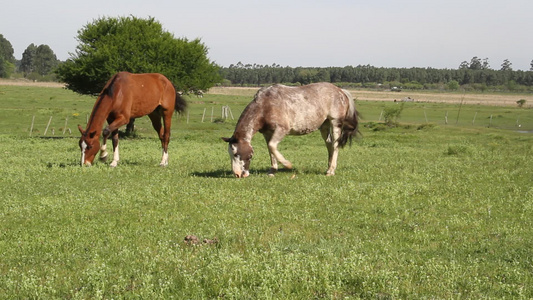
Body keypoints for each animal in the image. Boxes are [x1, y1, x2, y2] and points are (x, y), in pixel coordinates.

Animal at [220, 82, 358, 177]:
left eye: (236, 153)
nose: (237, 174)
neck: (265, 106)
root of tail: (341, 90)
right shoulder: (267, 133)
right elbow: (271, 149)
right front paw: (272, 171)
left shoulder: (281, 129)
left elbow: (272, 146)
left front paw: (287, 164)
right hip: (324, 126)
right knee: (329, 145)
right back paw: (328, 167)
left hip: (335, 123)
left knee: (335, 145)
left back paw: (331, 170)